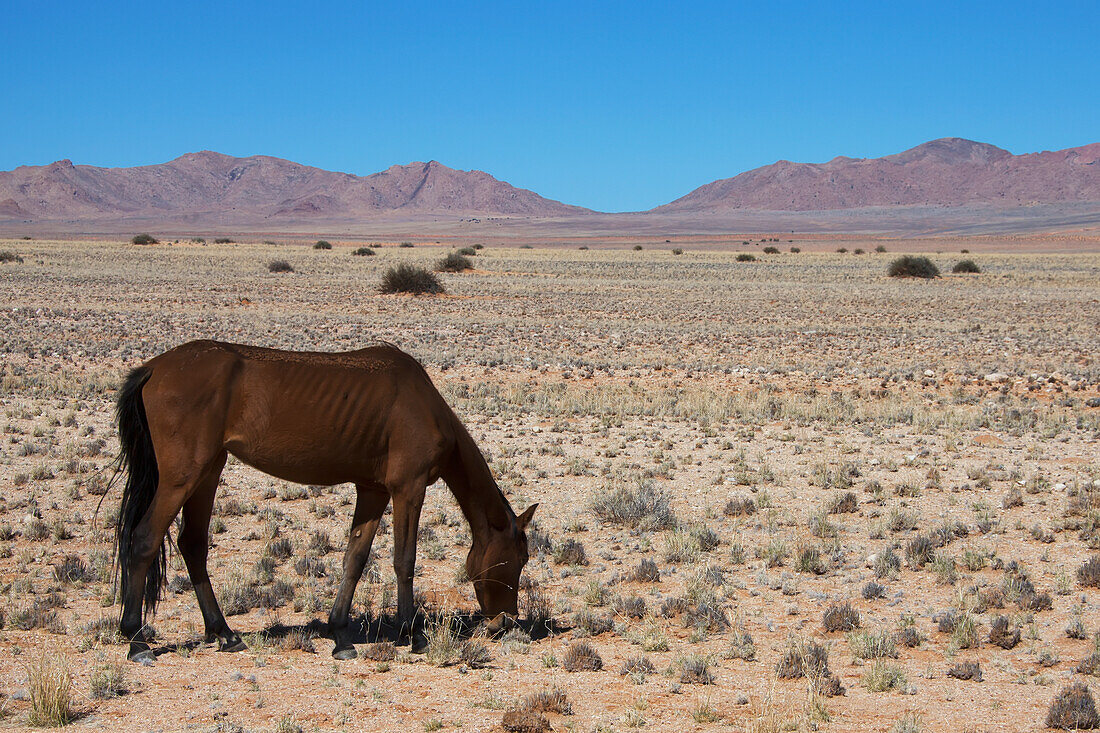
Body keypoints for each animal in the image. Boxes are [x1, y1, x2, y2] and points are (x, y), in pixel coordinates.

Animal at [111, 338, 536, 660]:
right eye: (519, 559)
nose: (505, 623)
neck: (425, 405)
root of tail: (153, 368)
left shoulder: (373, 490)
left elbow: (355, 559)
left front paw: (341, 636)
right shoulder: (408, 488)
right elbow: (405, 560)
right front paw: (413, 634)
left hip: (208, 471)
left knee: (193, 544)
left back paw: (224, 633)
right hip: (182, 476)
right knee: (144, 539)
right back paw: (136, 640)